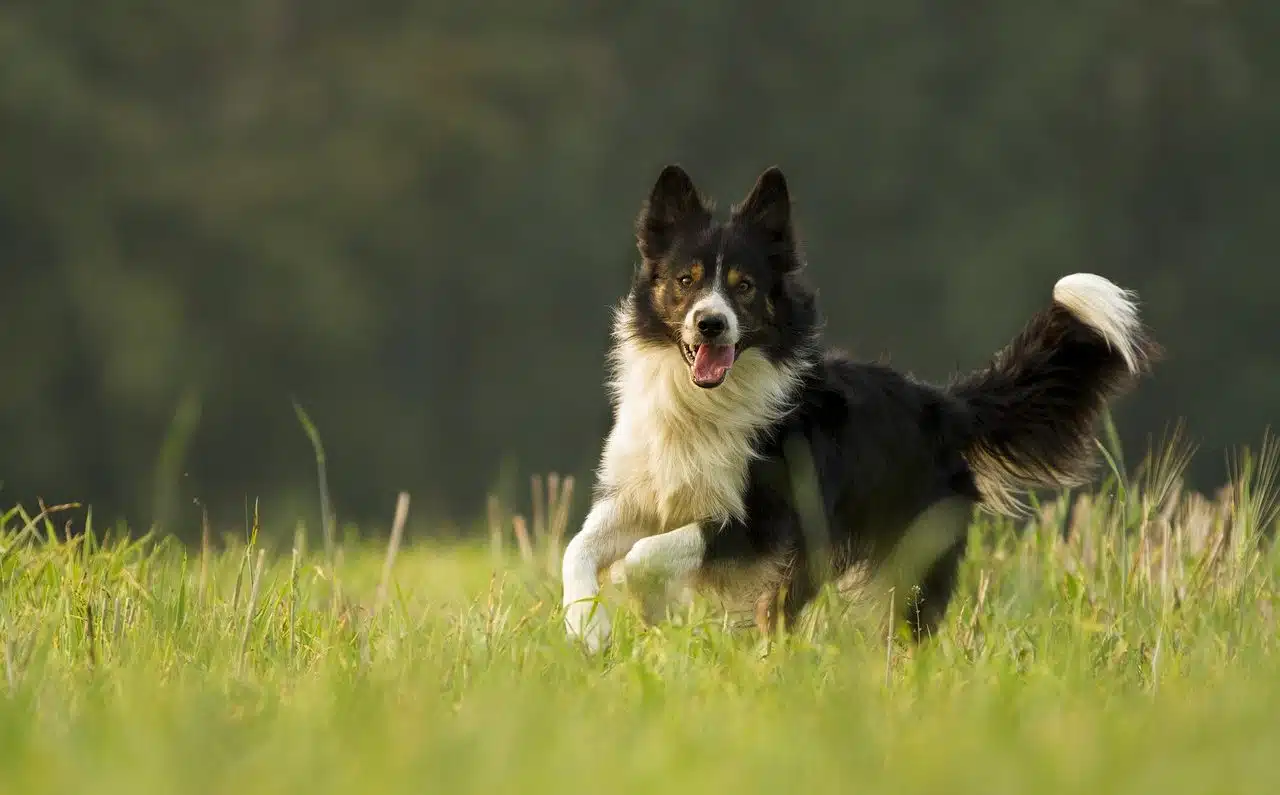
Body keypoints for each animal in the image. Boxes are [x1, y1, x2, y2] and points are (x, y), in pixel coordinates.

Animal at [563, 162, 1162, 650]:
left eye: (745, 286)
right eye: (685, 280)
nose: (711, 323)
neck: (702, 403)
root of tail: (943, 405)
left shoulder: (761, 521)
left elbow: (643, 557)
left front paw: (650, 609)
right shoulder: (643, 494)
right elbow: (578, 547)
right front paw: (587, 629)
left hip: (896, 557)